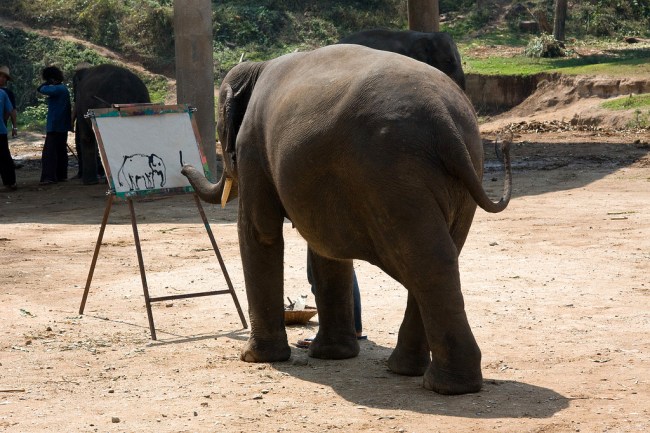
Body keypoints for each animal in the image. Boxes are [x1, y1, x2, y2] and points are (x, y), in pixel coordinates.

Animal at [182, 44, 511, 395]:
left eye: (220, 132)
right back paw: (407, 370)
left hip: (393, 174)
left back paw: (445, 385)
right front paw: (332, 355)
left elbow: (261, 232)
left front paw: (255, 358)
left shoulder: (252, 149)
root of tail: (445, 120)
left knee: (426, 260)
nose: (184, 165)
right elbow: (325, 249)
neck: (259, 67)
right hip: (462, 175)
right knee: (438, 256)